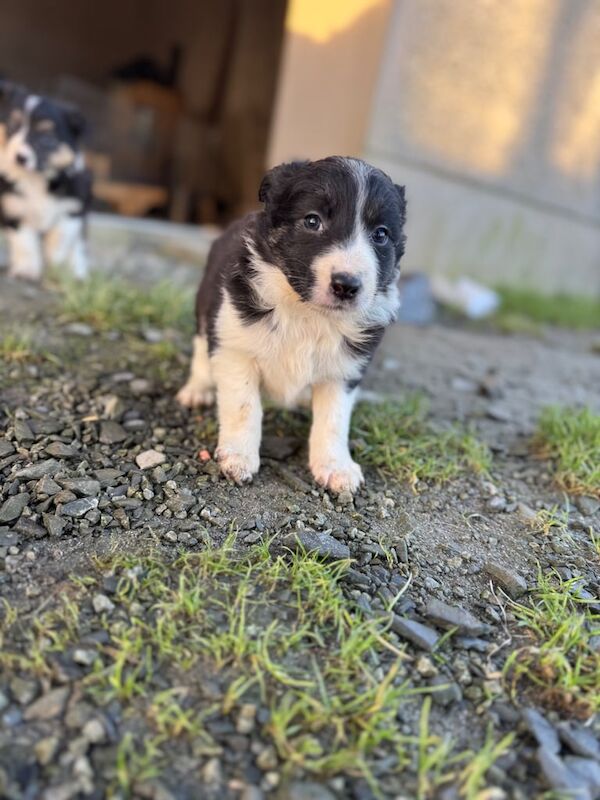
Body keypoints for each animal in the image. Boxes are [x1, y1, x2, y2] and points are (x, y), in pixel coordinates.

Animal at [0, 81, 91, 282]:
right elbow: (25, 244)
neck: (35, 179)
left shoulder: (72, 209)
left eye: (45, 136)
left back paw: (77, 271)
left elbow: (60, 240)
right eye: (12, 126)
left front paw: (56, 268)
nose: (20, 158)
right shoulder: (14, 212)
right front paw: (26, 271)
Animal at [176, 156, 406, 494]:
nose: (347, 285)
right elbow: (244, 405)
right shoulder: (235, 346)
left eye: (380, 235)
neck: (309, 313)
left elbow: (334, 418)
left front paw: (335, 466)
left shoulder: (345, 369)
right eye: (312, 221)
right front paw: (239, 457)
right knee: (201, 348)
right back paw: (197, 389)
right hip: (206, 307)